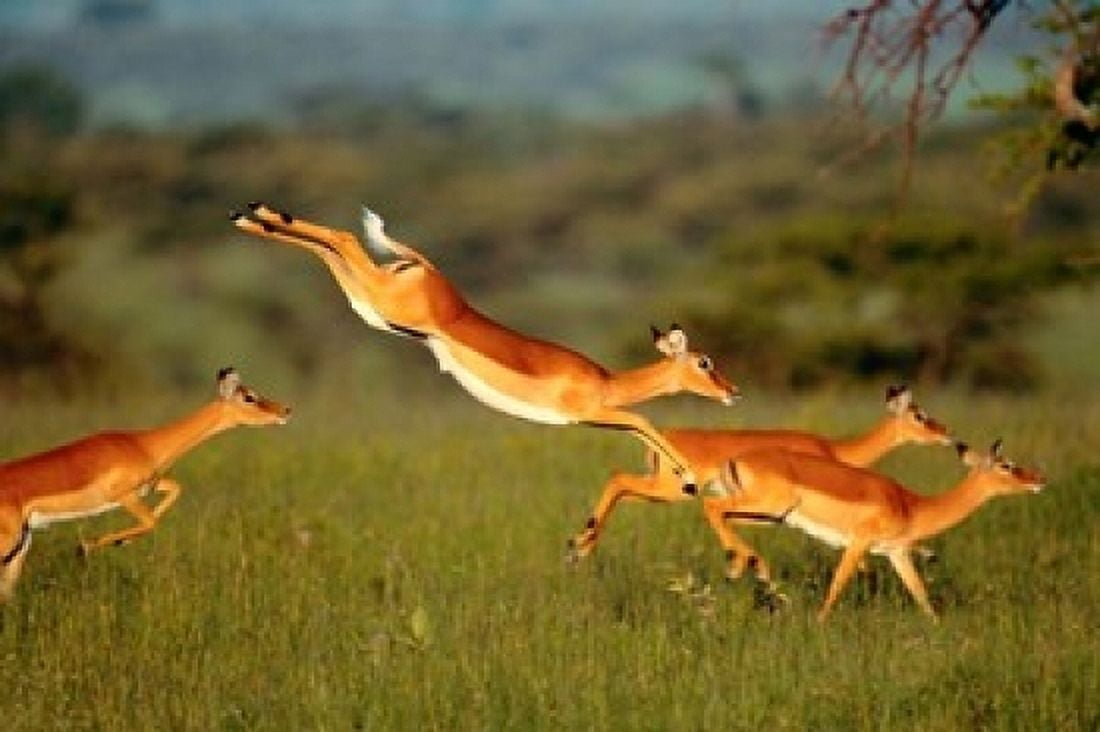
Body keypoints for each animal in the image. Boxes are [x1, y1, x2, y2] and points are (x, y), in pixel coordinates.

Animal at [0, 368, 290, 601]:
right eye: (249, 396)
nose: (286, 411)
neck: (143, 445)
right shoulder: (124, 496)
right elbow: (151, 521)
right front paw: (88, 546)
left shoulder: (149, 487)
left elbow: (175, 490)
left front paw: (120, 542)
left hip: (21, 544)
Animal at [232, 203, 738, 489]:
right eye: (704, 361)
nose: (732, 391)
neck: (605, 381)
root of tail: (428, 268)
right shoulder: (593, 413)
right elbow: (644, 421)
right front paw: (689, 479)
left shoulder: (599, 418)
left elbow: (642, 429)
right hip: (383, 303)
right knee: (344, 236)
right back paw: (251, 213)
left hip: (371, 306)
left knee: (330, 246)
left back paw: (250, 216)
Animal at [568, 385, 952, 585]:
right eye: (919, 415)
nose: (947, 434)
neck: (834, 450)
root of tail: (661, 439)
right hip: (670, 491)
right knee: (618, 480)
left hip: (661, 492)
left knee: (619, 489)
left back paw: (581, 548)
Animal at [711, 439, 1044, 621]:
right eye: (1006, 465)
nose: (1038, 479)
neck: (911, 505)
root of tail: (734, 460)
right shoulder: (859, 542)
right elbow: (838, 583)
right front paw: (819, 623)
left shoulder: (896, 552)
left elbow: (919, 592)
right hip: (768, 508)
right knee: (712, 506)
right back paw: (738, 569)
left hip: (769, 515)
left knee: (721, 514)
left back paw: (746, 568)